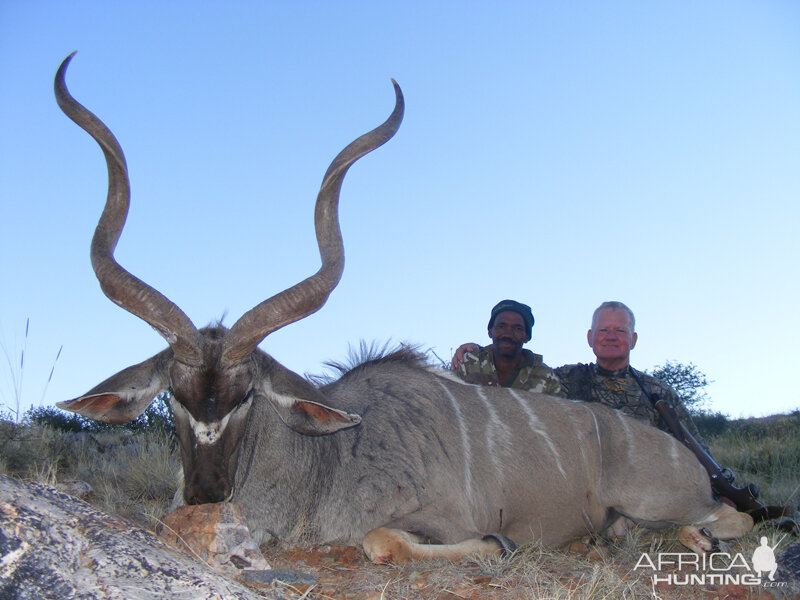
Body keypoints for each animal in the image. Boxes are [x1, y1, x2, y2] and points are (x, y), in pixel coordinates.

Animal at [54, 52, 752, 564]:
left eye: (245, 395)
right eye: (172, 395)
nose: (204, 495)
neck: (329, 462)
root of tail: (677, 451)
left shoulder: (434, 517)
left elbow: (384, 541)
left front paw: (499, 544)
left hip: (670, 499)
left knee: (733, 515)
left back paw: (696, 536)